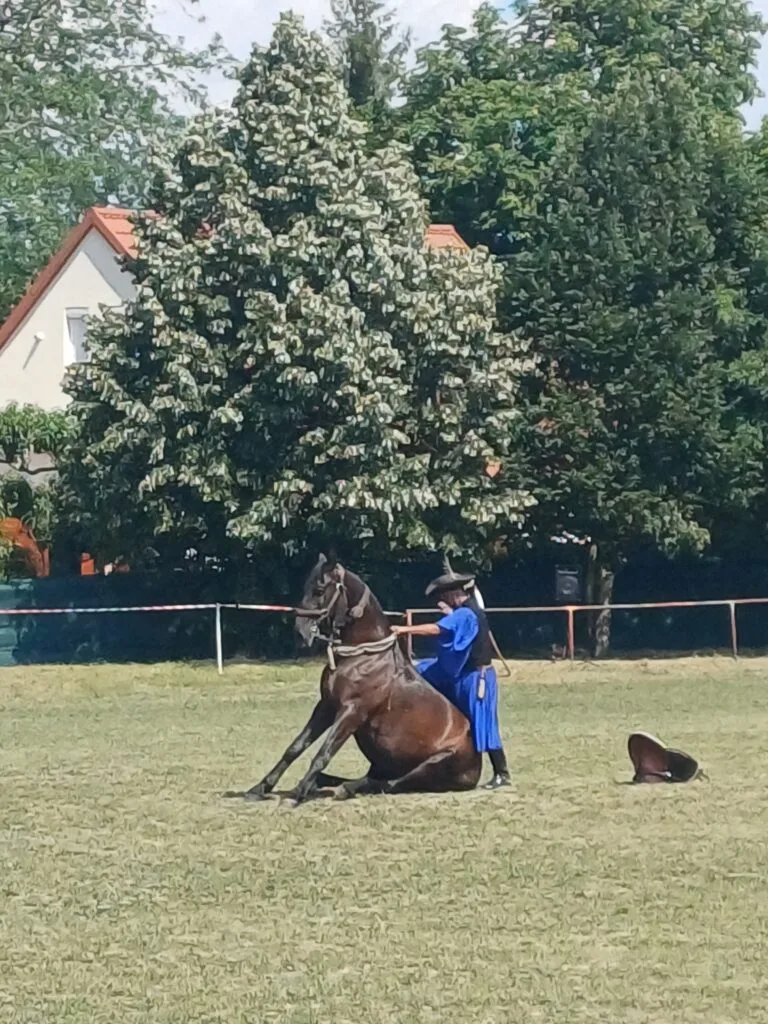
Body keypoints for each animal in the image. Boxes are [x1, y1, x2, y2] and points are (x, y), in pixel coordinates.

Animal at [230, 553, 482, 804]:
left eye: (319, 590)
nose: (300, 633)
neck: (362, 657)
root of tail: (477, 766)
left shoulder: (352, 712)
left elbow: (324, 753)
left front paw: (297, 794)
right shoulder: (326, 707)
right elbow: (295, 747)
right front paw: (260, 788)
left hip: (433, 764)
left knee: (389, 784)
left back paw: (341, 788)